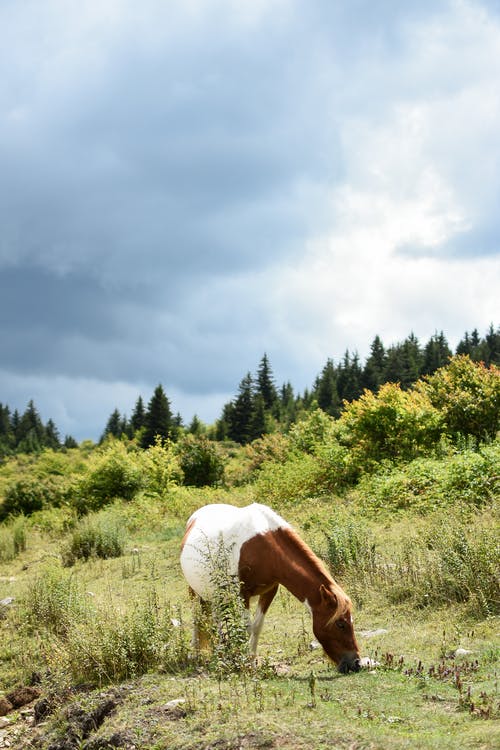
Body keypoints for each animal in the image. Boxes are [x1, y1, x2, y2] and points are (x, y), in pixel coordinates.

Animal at [180, 506, 360, 676]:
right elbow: (246, 628)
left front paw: (251, 662)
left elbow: (257, 627)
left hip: (215, 595)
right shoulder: (242, 594)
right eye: (340, 624)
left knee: (216, 620)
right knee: (198, 618)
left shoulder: (269, 591)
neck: (265, 549)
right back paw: (198, 653)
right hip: (194, 591)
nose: (356, 663)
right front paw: (243, 664)